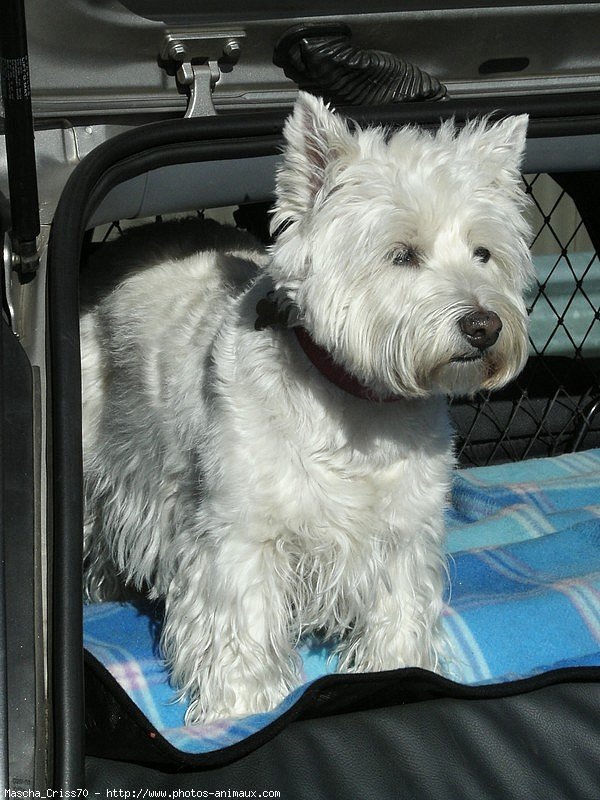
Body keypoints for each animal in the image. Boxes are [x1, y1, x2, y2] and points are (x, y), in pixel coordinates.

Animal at [81, 90, 536, 720]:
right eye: (402, 255)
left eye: (484, 252)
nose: (484, 326)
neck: (358, 405)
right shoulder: (239, 534)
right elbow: (241, 626)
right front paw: (240, 710)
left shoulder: (402, 532)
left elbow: (398, 611)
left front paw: (396, 671)